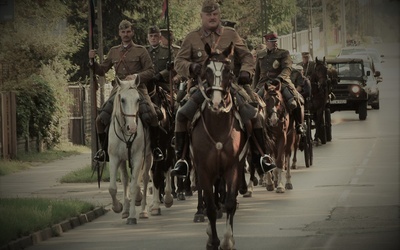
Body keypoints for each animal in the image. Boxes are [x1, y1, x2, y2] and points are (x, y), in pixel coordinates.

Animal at [108, 74, 153, 225]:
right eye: (122, 99)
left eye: (138, 99)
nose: (132, 128)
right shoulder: (114, 158)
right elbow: (113, 187)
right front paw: (118, 207)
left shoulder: (138, 157)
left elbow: (134, 186)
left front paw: (132, 216)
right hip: (123, 161)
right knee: (126, 179)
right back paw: (125, 210)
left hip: (148, 156)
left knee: (144, 179)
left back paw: (143, 210)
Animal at [189, 42, 248, 249]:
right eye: (206, 70)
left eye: (228, 71)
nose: (216, 102)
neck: (218, 126)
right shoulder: (204, 169)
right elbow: (211, 207)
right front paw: (213, 241)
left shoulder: (233, 167)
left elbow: (230, 203)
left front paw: (228, 240)